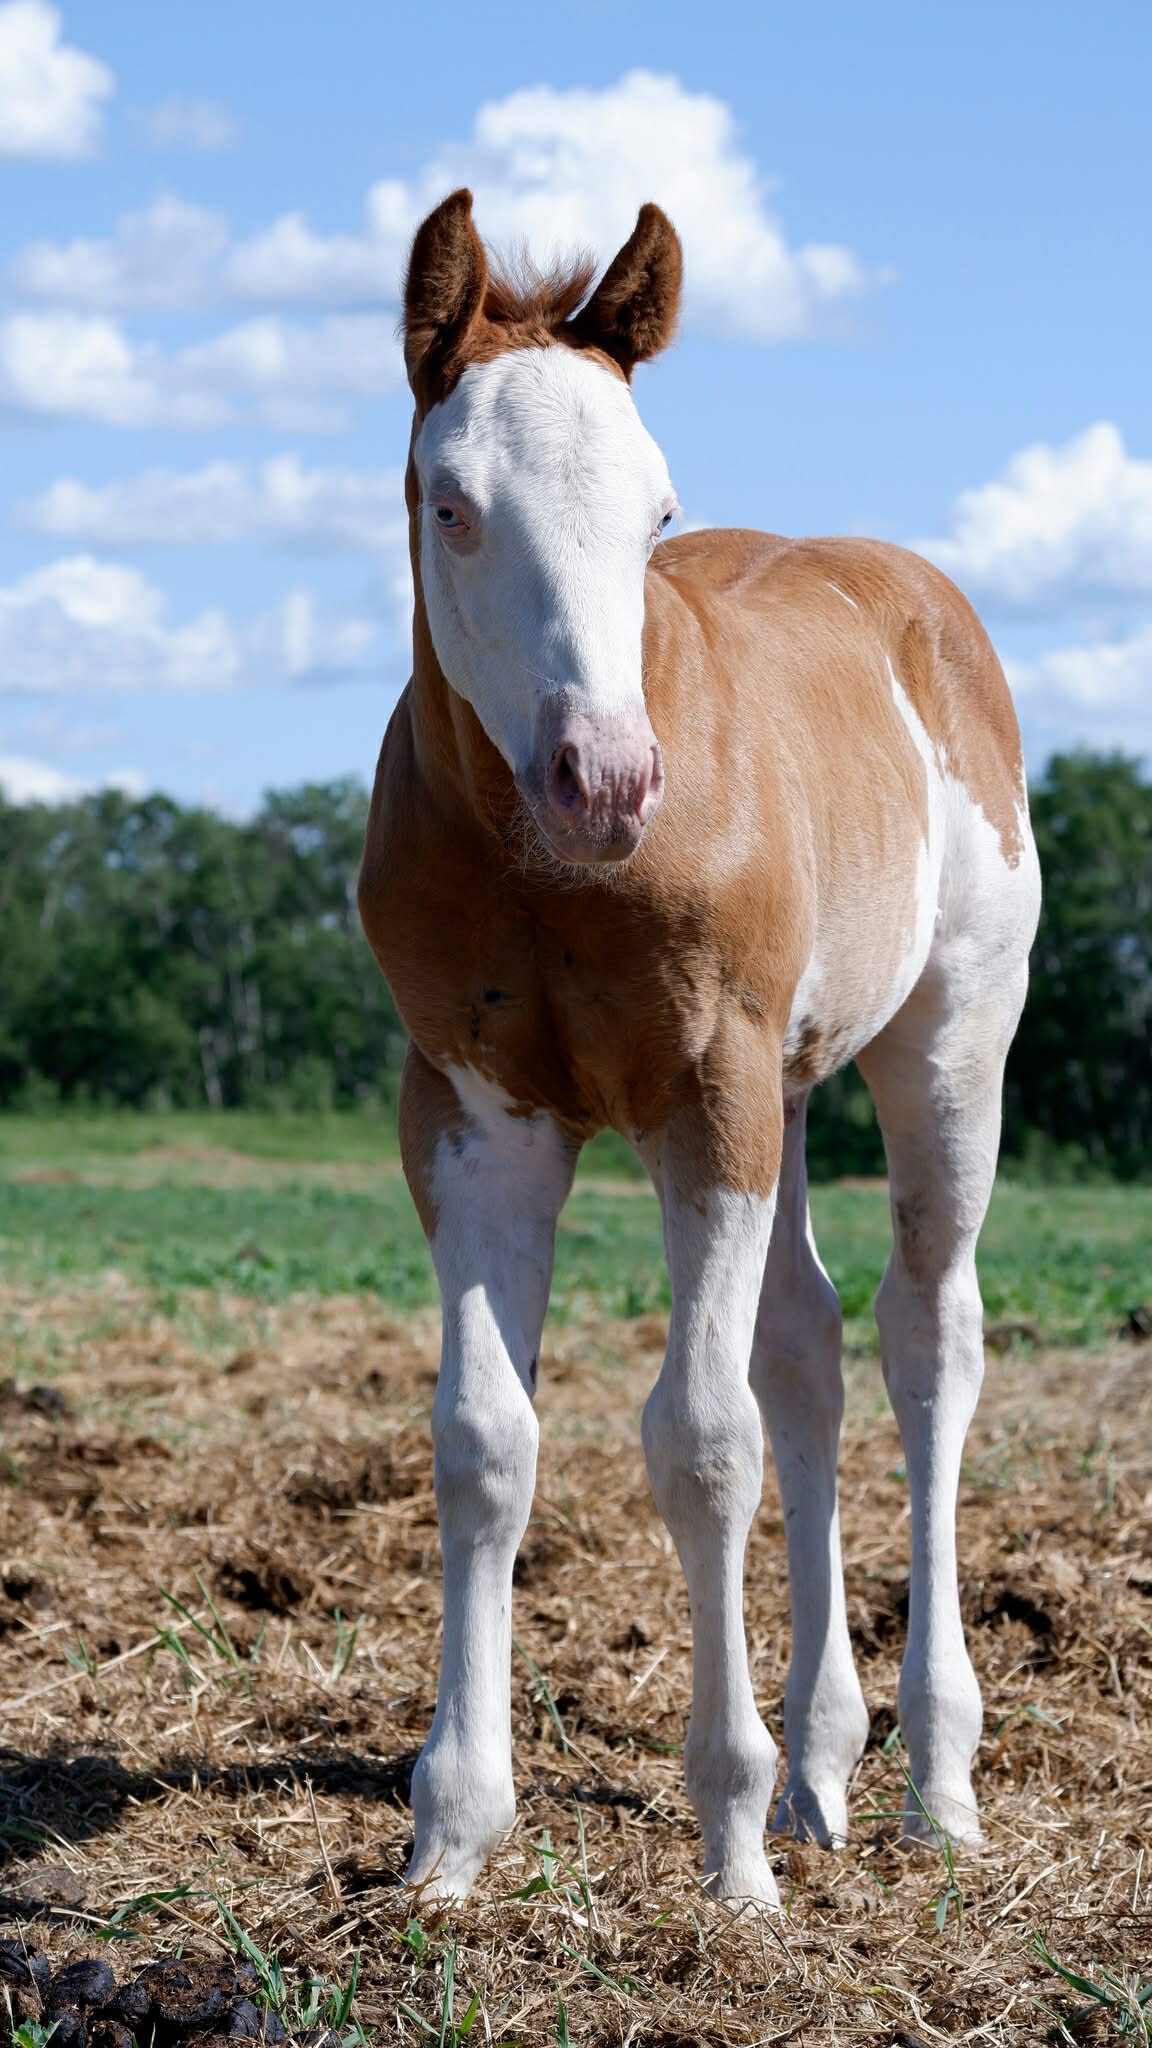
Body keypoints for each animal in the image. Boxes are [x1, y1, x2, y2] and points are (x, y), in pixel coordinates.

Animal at [359, 189, 1042, 1909]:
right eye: (452, 505)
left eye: (658, 512)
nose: (606, 777)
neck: (553, 874)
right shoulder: (474, 1113)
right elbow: (486, 1440)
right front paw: (451, 1838)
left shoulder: (704, 1098)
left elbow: (700, 1439)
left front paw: (729, 1848)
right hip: (790, 1089)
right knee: (807, 1347)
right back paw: (825, 1767)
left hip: (948, 1046)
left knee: (926, 1342)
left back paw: (935, 1780)